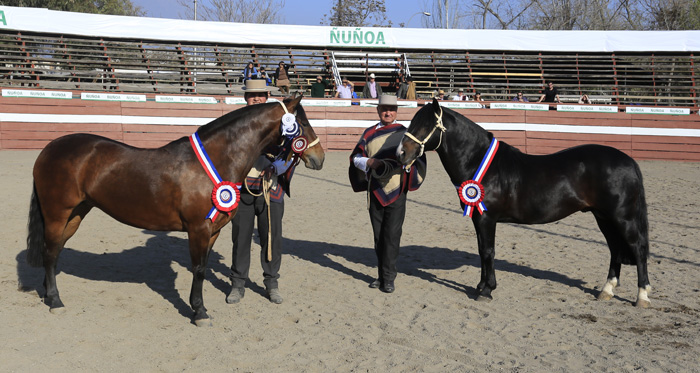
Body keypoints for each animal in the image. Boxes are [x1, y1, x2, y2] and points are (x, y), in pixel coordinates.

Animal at [24, 96, 326, 326]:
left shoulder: (212, 231)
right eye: (302, 124)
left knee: (54, 251)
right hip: (57, 214)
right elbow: (199, 269)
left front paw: (198, 308)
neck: (216, 159)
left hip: (75, 214)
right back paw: (56, 301)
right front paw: (200, 312)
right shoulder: (198, 229)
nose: (319, 158)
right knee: (50, 252)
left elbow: (202, 266)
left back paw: (48, 294)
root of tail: (49, 148)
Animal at [396, 98, 652, 306]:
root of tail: (628, 161)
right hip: (603, 217)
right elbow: (481, 250)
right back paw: (606, 291)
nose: (401, 153)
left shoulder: (487, 218)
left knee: (638, 248)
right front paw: (481, 286)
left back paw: (642, 296)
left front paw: (487, 290)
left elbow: (487, 251)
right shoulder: (479, 219)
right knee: (615, 249)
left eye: (426, 125)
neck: (480, 162)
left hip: (623, 217)